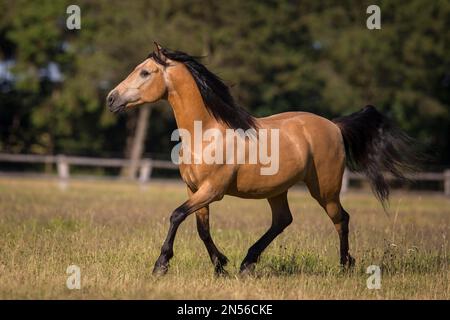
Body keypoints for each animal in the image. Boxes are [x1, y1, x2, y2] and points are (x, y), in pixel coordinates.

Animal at [105, 42, 418, 276]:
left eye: (145, 73)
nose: (111, 98)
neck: (206, 133)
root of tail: (334, 126)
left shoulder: (213, 190)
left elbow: (176, 215)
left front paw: (161, 265)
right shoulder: (194, 189)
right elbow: (201, 228)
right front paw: (221, 266)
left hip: (325, 189)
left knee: (341, 219)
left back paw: (345, 266)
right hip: (277, 190)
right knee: (283, 220)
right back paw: (247, 263)